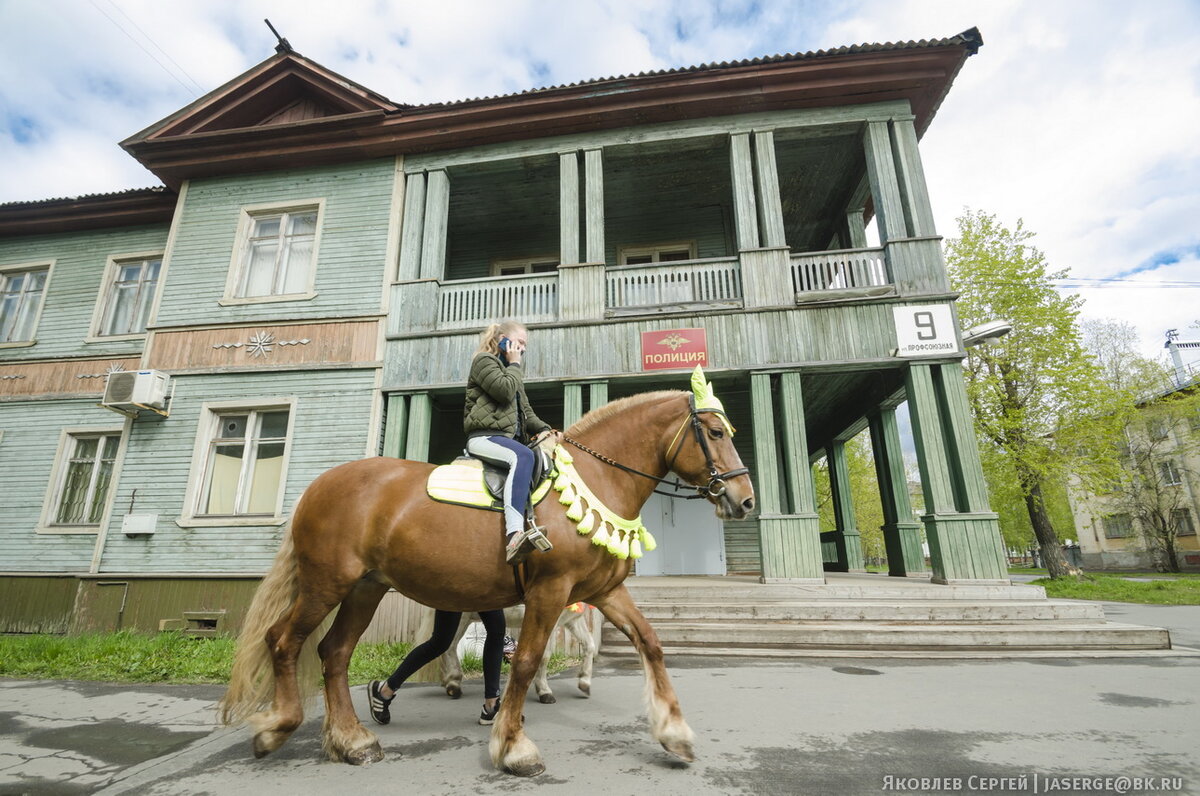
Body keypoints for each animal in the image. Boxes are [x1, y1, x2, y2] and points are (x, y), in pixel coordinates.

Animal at [218, 386, 748, 777]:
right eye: (714, 432)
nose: (744, 500)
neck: (593, 483)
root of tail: (318, 486)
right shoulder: (549, 592)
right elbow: (528, 661)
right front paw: (514, 747)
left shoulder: (603, 592)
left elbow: (650, 642)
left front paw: (674, 733)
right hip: (326, 585)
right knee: (284, 640)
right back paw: (280, 727)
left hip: (366, 589)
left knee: (334, 653)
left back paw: (353, 741)